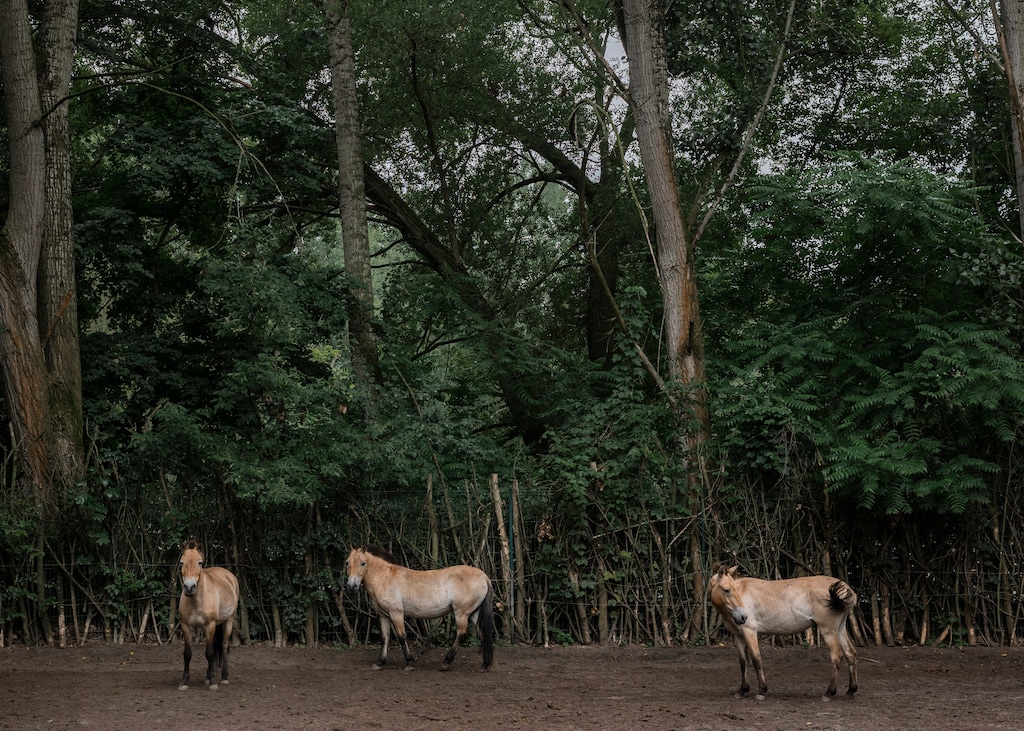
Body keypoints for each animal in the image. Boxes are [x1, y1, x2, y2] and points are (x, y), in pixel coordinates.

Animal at [177, 540, 240, 691]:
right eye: (181, 563)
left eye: (200, 563)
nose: (189, 587)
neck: (196, 600)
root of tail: (230, 576)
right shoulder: (186, 627)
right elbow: (187, 654)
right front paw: (184, 682)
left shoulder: (210, 626)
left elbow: (209, 653)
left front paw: (213, 682)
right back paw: (207, 676)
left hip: (228, 622)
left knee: (224, 646)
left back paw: (224, 677)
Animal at [345, 545, 495, 671]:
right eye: (347, 563)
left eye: (363, 563)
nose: (352, 586)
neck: (385, 578)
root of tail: (484, 577)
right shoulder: (384, 616)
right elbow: (384, 638)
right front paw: (380, 663)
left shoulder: (396, 613)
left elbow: (402, 637)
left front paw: (409, 663)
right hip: (474, 613)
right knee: (483, 633)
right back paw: (485, 664)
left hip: (461, 613)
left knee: (462, 634)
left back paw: (446, 662)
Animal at [708, 563, 858, 701]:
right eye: (727, 590)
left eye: (733, 590)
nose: (743, 617)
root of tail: (845, 589)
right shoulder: (739, 635)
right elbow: (743, 662)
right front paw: (742, 690)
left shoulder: (749, 631)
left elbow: (756, 659)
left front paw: (761, 691)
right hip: (840, 629)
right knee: (850, 654)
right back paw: (851, 690)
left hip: (828, 630)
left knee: (837, 656)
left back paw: (829, 693)